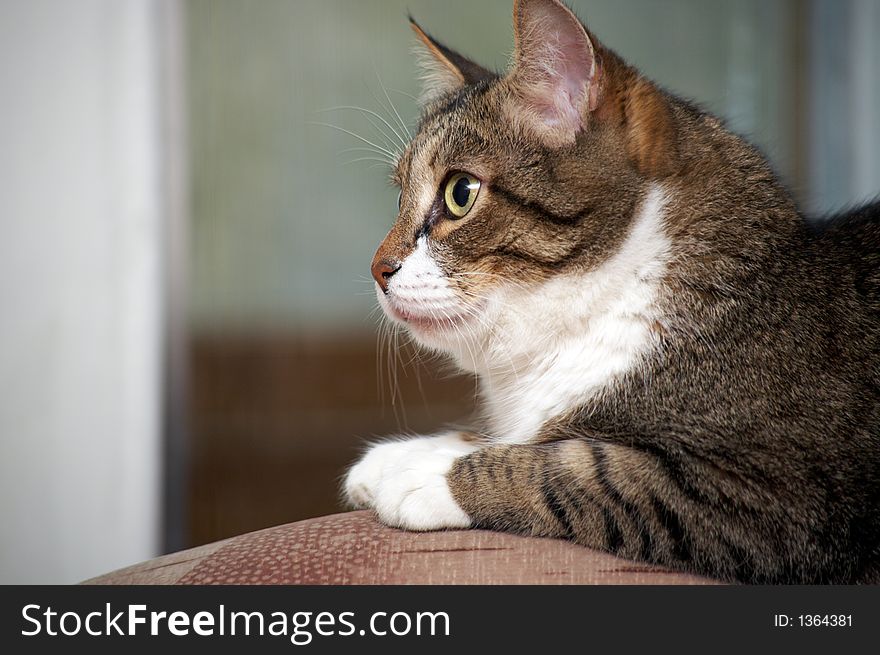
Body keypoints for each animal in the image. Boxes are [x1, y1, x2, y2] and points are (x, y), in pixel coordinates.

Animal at [342, 0, 880, 584]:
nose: (376, 268)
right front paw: (404, 454)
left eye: (460, 193)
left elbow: (582, 468)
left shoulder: (771, 496)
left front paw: (427, 472)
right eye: (400, 196)